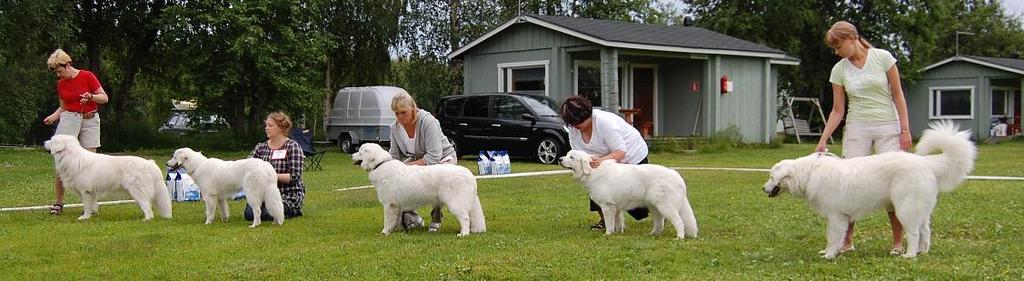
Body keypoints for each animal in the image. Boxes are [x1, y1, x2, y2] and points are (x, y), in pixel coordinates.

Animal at [43, 135, 172, 220]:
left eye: (52, 140)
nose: (43, 142)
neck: (71, 157)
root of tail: (150, 164)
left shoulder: (85, 191)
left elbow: (86, 205)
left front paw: (85, 217)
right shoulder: (91, 192)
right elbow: (92, 204)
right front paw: (92, 214)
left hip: (137, 191)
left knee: (147, 206)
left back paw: (146, 219)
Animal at [352, 142, 487, 236]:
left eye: (359, 151)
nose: (352, 155)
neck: (380, 164)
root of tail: (469, 175)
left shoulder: (390, 205)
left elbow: (388, 221)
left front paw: (385, 232)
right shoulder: (397, 206)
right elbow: (396, 220)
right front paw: (397, 231)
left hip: (455, 203)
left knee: (465, 218)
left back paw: (463, 234)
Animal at [557, 150, 700, 239]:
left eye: (572, 157)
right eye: (567, 154)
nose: (559, 159)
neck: (592, 171)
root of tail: (676, 176)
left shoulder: (607, 206)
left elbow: (609, 223)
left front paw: (608, 234)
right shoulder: (616, 207)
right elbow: (618, 222)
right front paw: (618, 232)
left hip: (665, 206)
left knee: (679, 222)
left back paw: (679, 238)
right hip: (654, 206)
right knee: (659, 223)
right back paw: (652, 234)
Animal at [765, 121, 978, 259]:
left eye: (771, 177)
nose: (762, 188)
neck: (809, 174)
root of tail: (925, 162)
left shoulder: (836, 217)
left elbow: (832, 237)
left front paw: (829, 255)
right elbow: (831, 237)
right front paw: (828, 252)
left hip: (905, 209)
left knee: (914, 233)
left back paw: (909, 255)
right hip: (922, 210)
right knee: (925, 232)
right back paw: (922, 252)